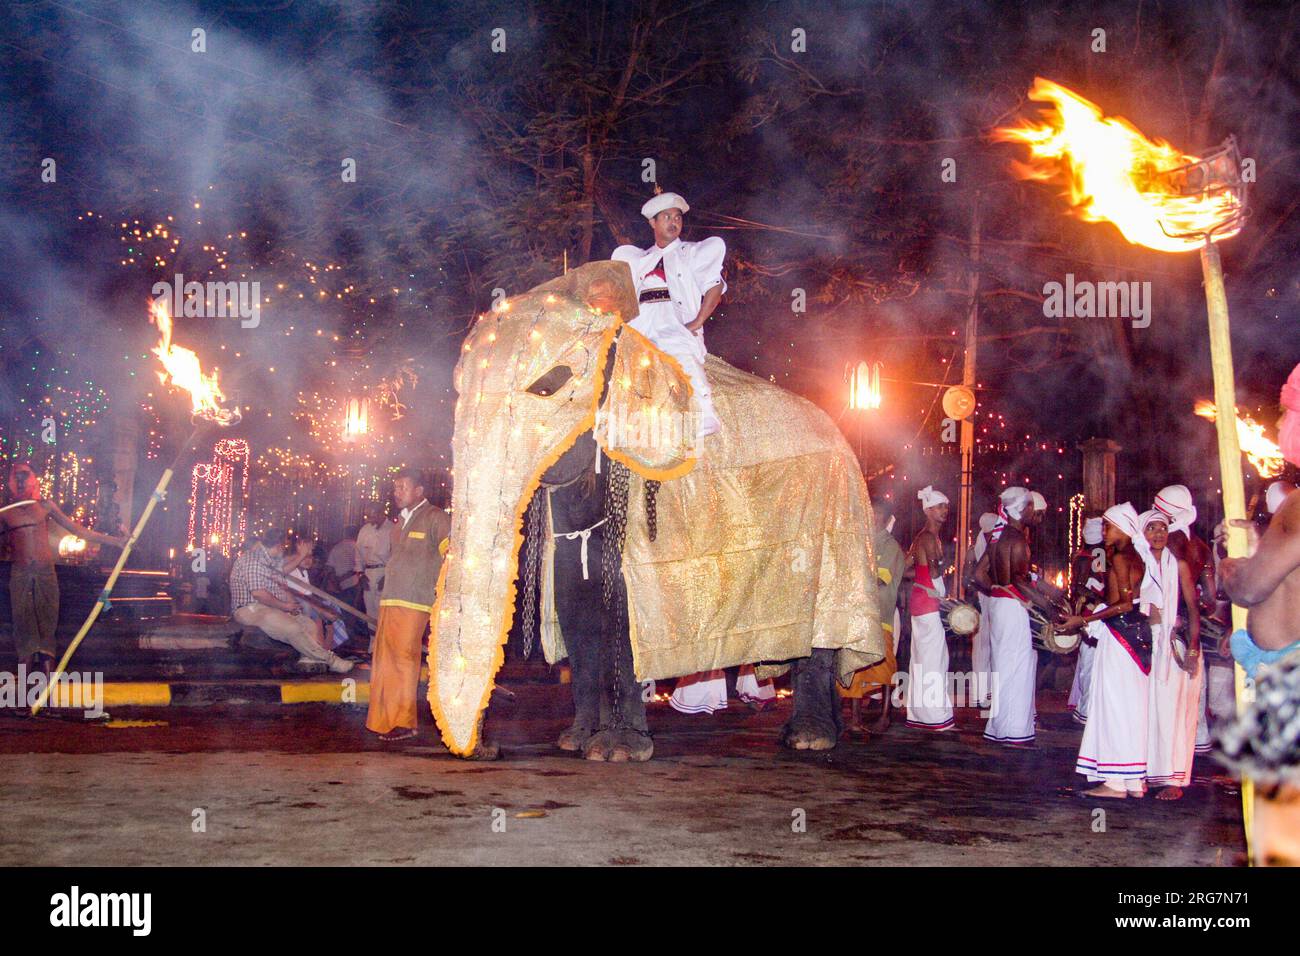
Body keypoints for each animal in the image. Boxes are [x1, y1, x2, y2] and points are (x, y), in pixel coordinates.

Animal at [426, 260, 883, 754]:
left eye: (549, 386)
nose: (485, 747)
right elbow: (574, 597)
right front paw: (575, 741)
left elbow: (621, 604)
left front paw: (615, 751)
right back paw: (823, 733)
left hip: (837, 520)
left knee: (823, 632)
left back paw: (808, 739)